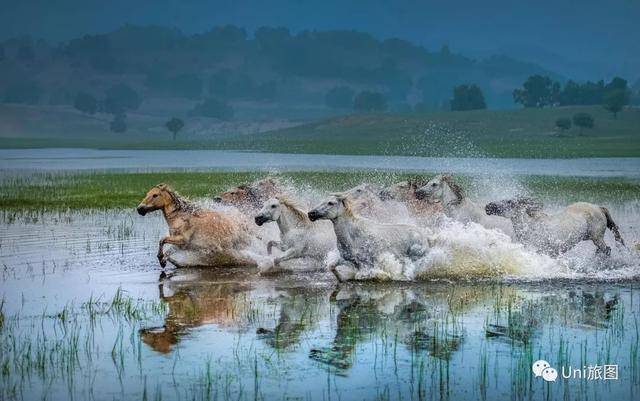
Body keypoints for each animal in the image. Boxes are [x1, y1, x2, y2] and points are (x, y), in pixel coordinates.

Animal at [484, 198, 624, 256]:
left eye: (509, 203)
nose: (487, 207)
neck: (531, 228)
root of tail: (599, 208)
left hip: (597, 238)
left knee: (607, 250)